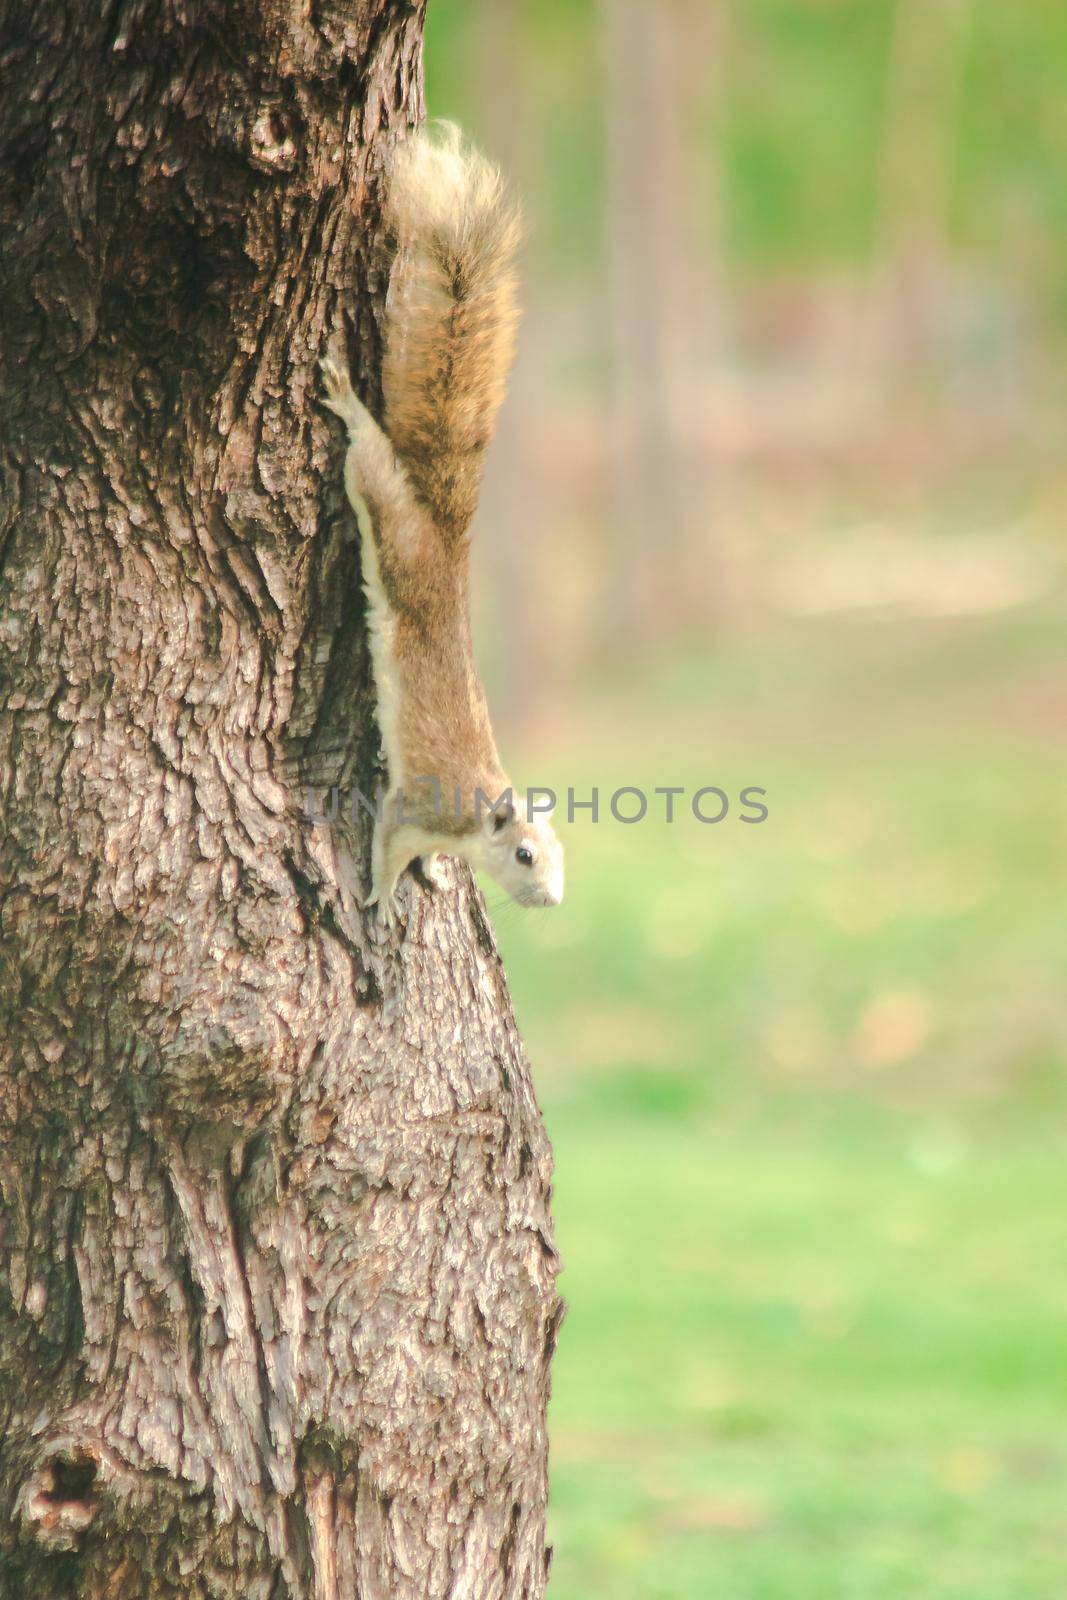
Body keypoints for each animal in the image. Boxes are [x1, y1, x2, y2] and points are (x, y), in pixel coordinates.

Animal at [319, 124, 563, 934]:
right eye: (524, 854)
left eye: (561, 854)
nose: (554, 898)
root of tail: (445, 535)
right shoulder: (416, 808)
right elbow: (387, 847)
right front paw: (379, 898)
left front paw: (425, 875)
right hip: (392, 524)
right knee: (370, 462)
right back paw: (348, 402)